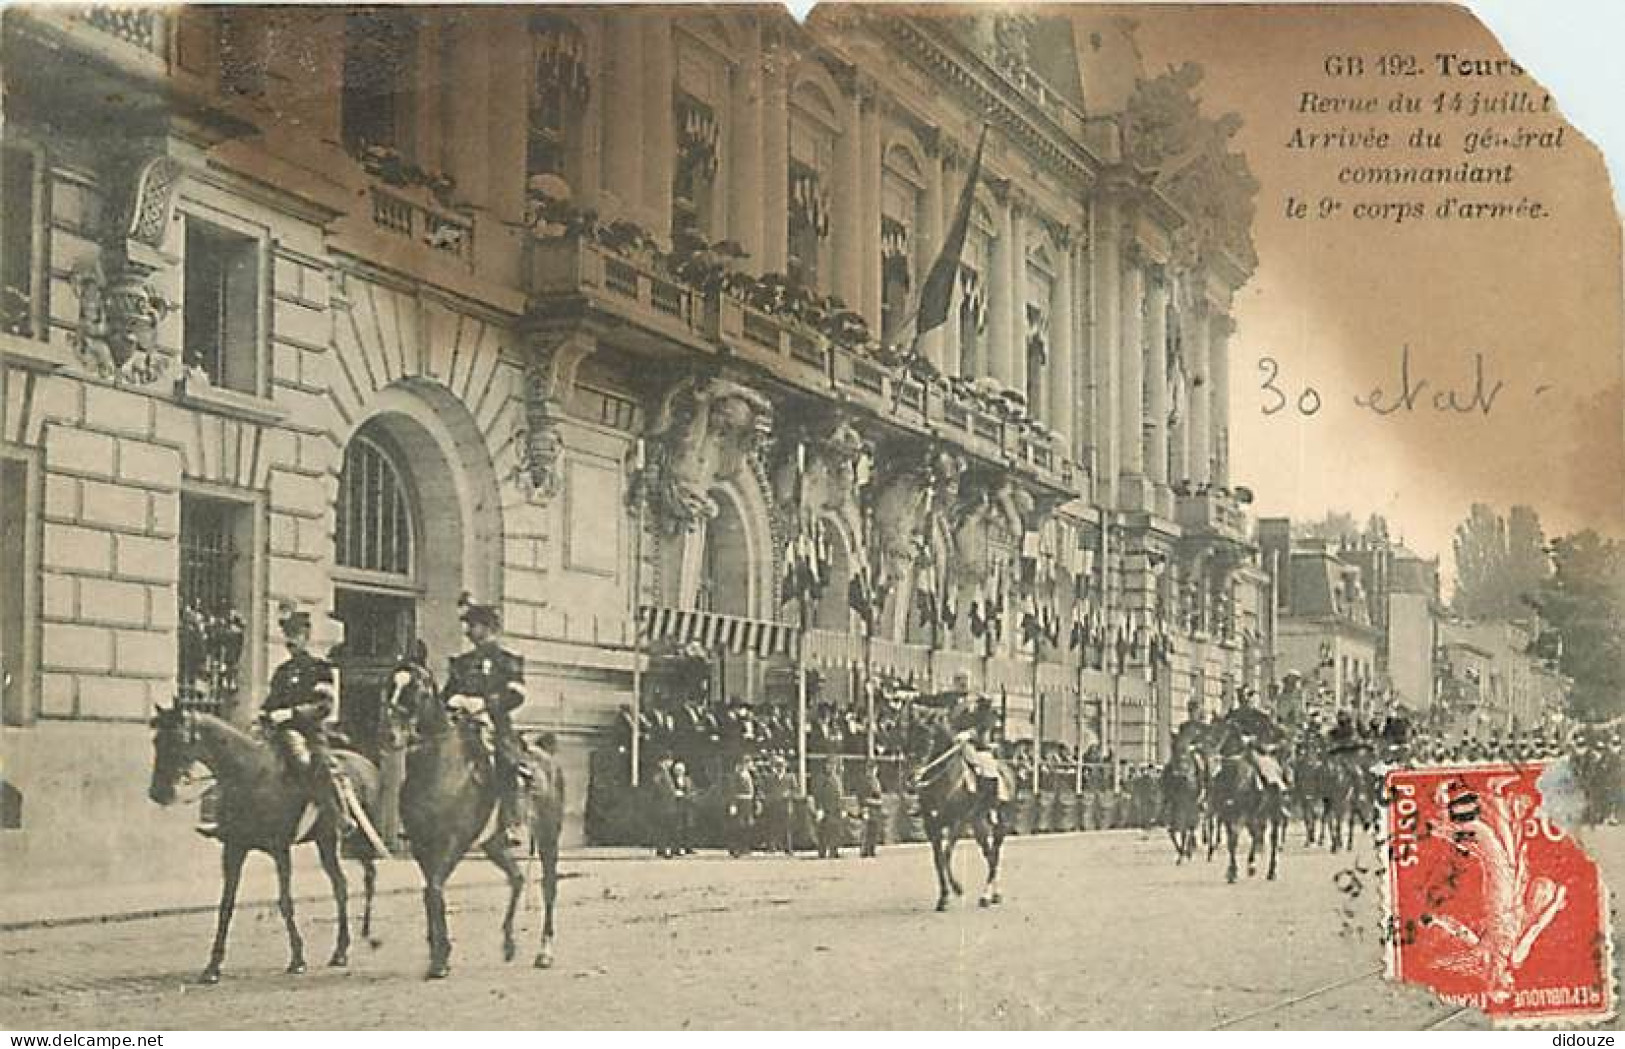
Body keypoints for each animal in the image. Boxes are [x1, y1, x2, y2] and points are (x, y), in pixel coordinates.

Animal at [147, 707, 381, 987]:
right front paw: (213, 967)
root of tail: (367, 764)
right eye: (156, 740)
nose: (157, 793)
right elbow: (226, 906)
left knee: (353, 881)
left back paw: (347, 948)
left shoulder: (280, 849)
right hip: (324, 842)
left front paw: (297, 960)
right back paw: (340, 950)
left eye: (177, 740)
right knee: (341, 885)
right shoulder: (234, 849)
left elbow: (285, 902)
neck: (250, 776)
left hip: (338, 839)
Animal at [385, 662, 565, 980]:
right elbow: (430, 892)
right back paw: (508, 943)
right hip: (494, 843)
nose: (392, 734)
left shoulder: (453, 843)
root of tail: (547, 754)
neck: (439, 769)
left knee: (548, 888)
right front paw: (438, 955)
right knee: (517, 878)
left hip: (548, 837)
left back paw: (544, 953)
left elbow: (434, 890)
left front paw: (441, 958)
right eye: (390, 685)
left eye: (418, 690)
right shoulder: (421, 845)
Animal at [910, 701, 1007, 915]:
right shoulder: (932, 825)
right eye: (907, 735)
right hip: (979, 824)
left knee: (994, 856)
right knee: (990, 855)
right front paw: (944, 897)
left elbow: (946, 855)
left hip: (995, 825)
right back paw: (993, 895)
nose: (913, 777)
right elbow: (938, 859)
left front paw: (957, 889)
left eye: (928, 738)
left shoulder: (958, 822)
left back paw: (987, 896)